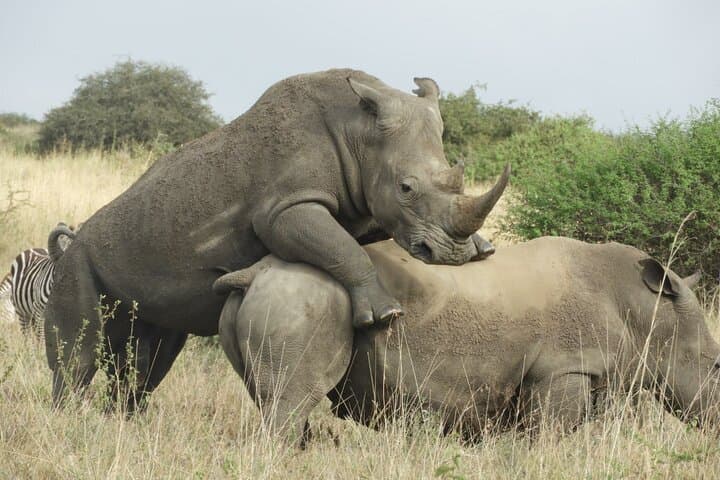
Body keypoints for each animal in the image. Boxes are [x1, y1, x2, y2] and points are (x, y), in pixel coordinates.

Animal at [44, 68, 509, 408]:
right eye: (406, 188)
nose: (450, 254)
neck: (359, 133)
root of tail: (72, 242)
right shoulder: (284, 208)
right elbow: (341, 249)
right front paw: (384, 314)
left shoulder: (360, 208)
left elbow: (352, 240)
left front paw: (482, 249)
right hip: (76, 262)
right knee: (77, 353)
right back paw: (67, 420)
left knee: (149, 357)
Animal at [214, 237, 720, 445]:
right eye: (716, 366)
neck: (644, 309)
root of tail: (255, 272)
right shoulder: (564, 366)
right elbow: (551, 438)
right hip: (305, 297)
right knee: (290, 402)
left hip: (276, 297)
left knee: (274, 400)